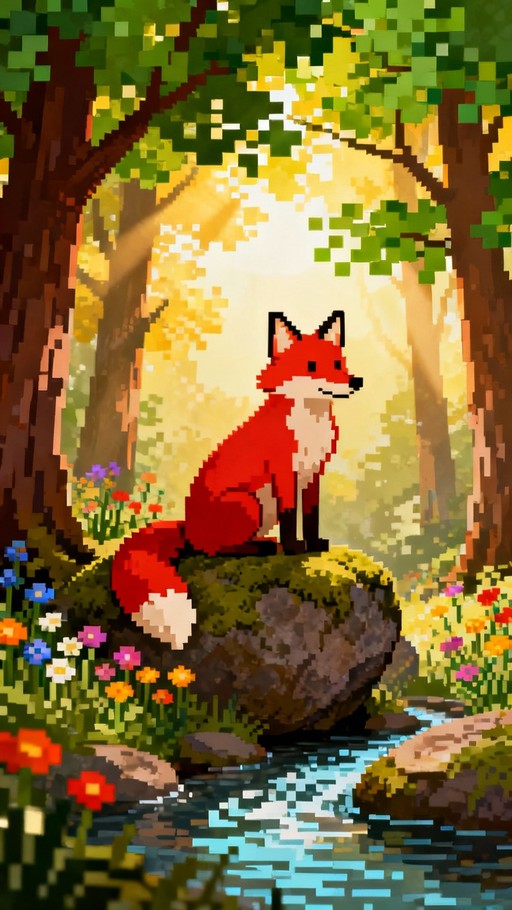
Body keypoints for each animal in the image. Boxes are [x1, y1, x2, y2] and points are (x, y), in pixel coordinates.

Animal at [111, 310, 363, 647]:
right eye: (311, 366)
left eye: (339, 363)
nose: (355, 381)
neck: (310, 425)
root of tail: (188, 525)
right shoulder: (284, 471)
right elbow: (290, 515)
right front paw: (294, 548)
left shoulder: (314, 473)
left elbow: (311, 515)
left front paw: (314, 544)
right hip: (248, 504)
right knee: (212, 550)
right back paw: (262, 548)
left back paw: (263, 542)